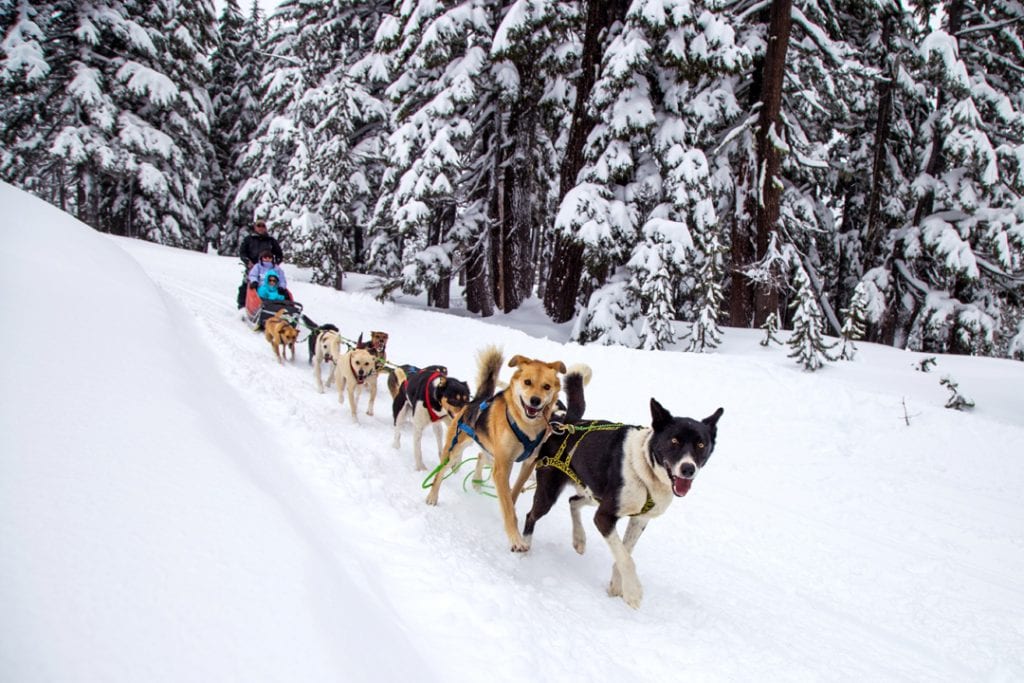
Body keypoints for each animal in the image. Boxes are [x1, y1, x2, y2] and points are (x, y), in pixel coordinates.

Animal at [425, 350, 569, 552]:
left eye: (546, 386)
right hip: (455, 450)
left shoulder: (527, 464)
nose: (535, 400)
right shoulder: (502, 467)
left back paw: (477, 482)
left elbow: (511, 495)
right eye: (527, 382)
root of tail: (476, 401)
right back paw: (432, 496)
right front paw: (516, 538)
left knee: (480, 457)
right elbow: (508, 507)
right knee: (439, 474)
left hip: (491, 453)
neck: (526, 426)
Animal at [516, 374, 724, 610]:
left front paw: (616, 586)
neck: (646, 468)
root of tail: (568, 423)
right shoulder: (604, 517)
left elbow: (623, 552)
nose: (688, 469)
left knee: (573, 501)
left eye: (701, 444)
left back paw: (579, 539)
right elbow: (626, 558)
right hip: (549, 493)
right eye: (674, 441)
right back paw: (526, 547)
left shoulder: (639, 519)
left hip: (593, 493)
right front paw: (633, 592)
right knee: (532, 516)